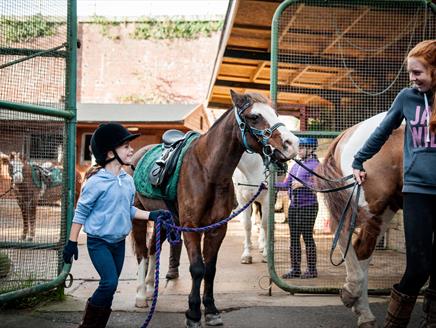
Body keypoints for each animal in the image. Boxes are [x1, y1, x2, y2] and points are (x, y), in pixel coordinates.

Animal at [129, 90, 300, 328]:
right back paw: (140, 296)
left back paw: (149, 286)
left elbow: (210, 269)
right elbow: (197, 268)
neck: (207, 171)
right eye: (254, 117)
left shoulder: (217, 228)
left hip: (164, 218)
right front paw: (193, 313)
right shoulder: (191, 227)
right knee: (142, 252)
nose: (292, 144)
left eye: (275, 113)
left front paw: (210, 310)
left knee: (153, 248)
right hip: (138, 217)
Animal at [316, 113, 404, 328]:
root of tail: (349, 132)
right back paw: (352, 293)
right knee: (343, 231)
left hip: (386, 206)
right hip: (371, 203)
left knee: (362, 250)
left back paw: (364, 312)